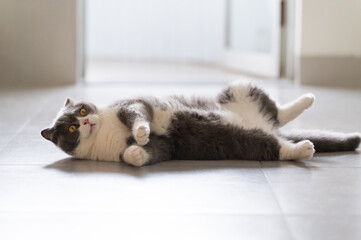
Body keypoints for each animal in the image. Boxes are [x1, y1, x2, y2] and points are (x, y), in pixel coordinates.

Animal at [40, 81, 360, 166]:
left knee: (279, 111)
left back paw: (307, 98)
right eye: (71, 128)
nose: (86, 121)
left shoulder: (132, 103)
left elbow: (138, 114)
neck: (104, 131)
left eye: (83, 109)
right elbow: (142, 154)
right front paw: (136, 151)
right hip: (247, 143)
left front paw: (141, 132)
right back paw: (304, 148)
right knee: (278, 146)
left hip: (236, 89)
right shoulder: (166, 147)